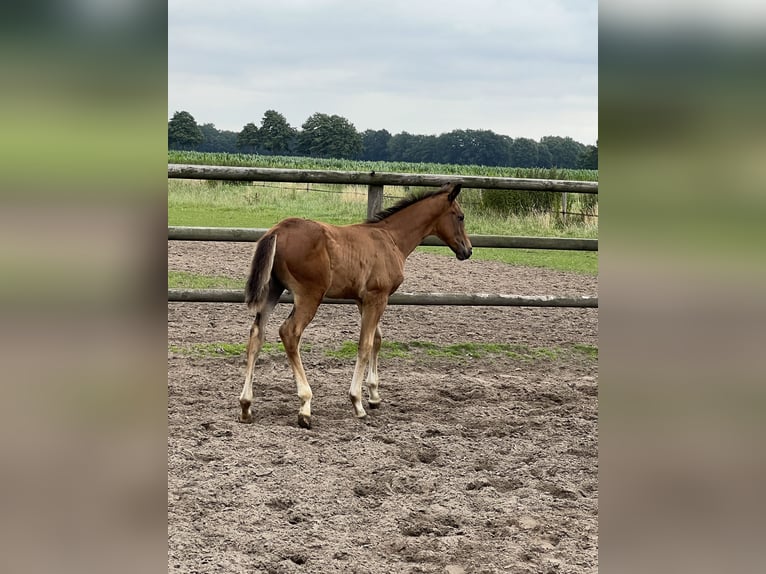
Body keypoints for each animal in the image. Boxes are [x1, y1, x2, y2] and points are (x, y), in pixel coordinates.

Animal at [238, 182, 474, 430]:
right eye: (460, 216)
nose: (467, 250)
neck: (391, 238)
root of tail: (277, 231)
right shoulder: (378, 297)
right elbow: (365, 344)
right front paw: (357, 402)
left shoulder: (365, 300)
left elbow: (377, 339)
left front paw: (374, 395)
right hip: (309, 295)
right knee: (289, 332)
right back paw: (305, 406)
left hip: (272, 289)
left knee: (257, 334)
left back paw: (246, 405)